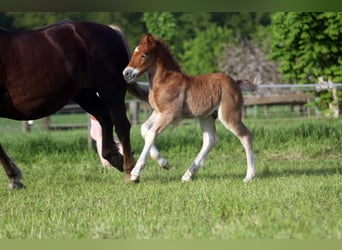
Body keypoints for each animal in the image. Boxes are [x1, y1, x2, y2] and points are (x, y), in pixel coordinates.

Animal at [123, 33, 256, 182]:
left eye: (144, 54)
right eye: (134, 52)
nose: (126, 73)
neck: (164, 81)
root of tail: (235, 83)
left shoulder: (170, 114)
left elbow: (151, 134)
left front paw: (135, 173)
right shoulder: (158, 112)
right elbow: (144, 129)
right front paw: (164, 163)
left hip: (229, 116)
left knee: (246, 136)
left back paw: (249, 176)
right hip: (206, 117)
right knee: (210, 139)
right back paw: (188, 174)